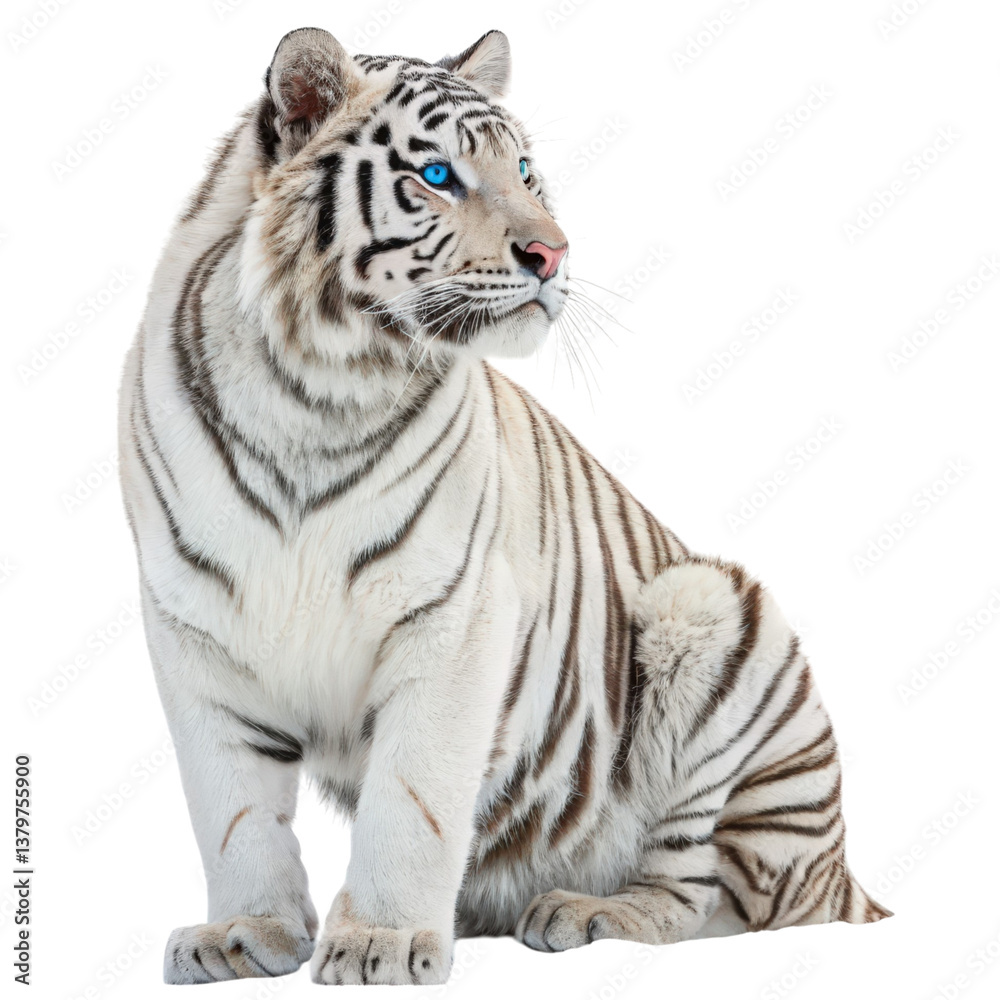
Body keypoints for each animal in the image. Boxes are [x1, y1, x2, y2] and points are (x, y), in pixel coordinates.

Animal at [117, 26, 890, 986]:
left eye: (523, 169)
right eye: (438, 175)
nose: (555, 255)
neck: (311, 388)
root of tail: (842, 870)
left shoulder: (453, 618)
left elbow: (411, 801)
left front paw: (379, 942)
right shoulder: (191, 626)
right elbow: (232, 810)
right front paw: (243, 933)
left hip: (710, 615)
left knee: (705, 893)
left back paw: (588, 912)